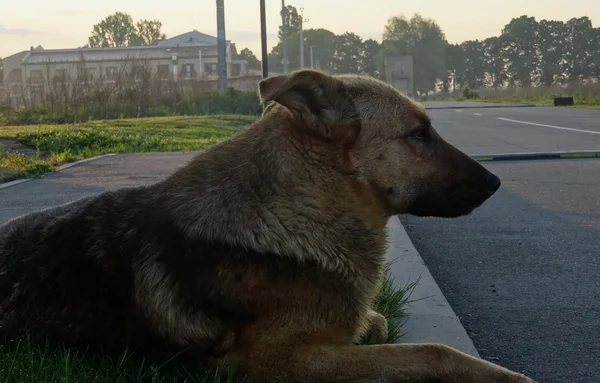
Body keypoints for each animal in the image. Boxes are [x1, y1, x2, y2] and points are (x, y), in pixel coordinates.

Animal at [0, 70, 536, 383]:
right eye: (419, 134)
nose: (496, 181)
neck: (297, 210)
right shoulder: (281, 362)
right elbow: (432, 352)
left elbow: (377, 323)